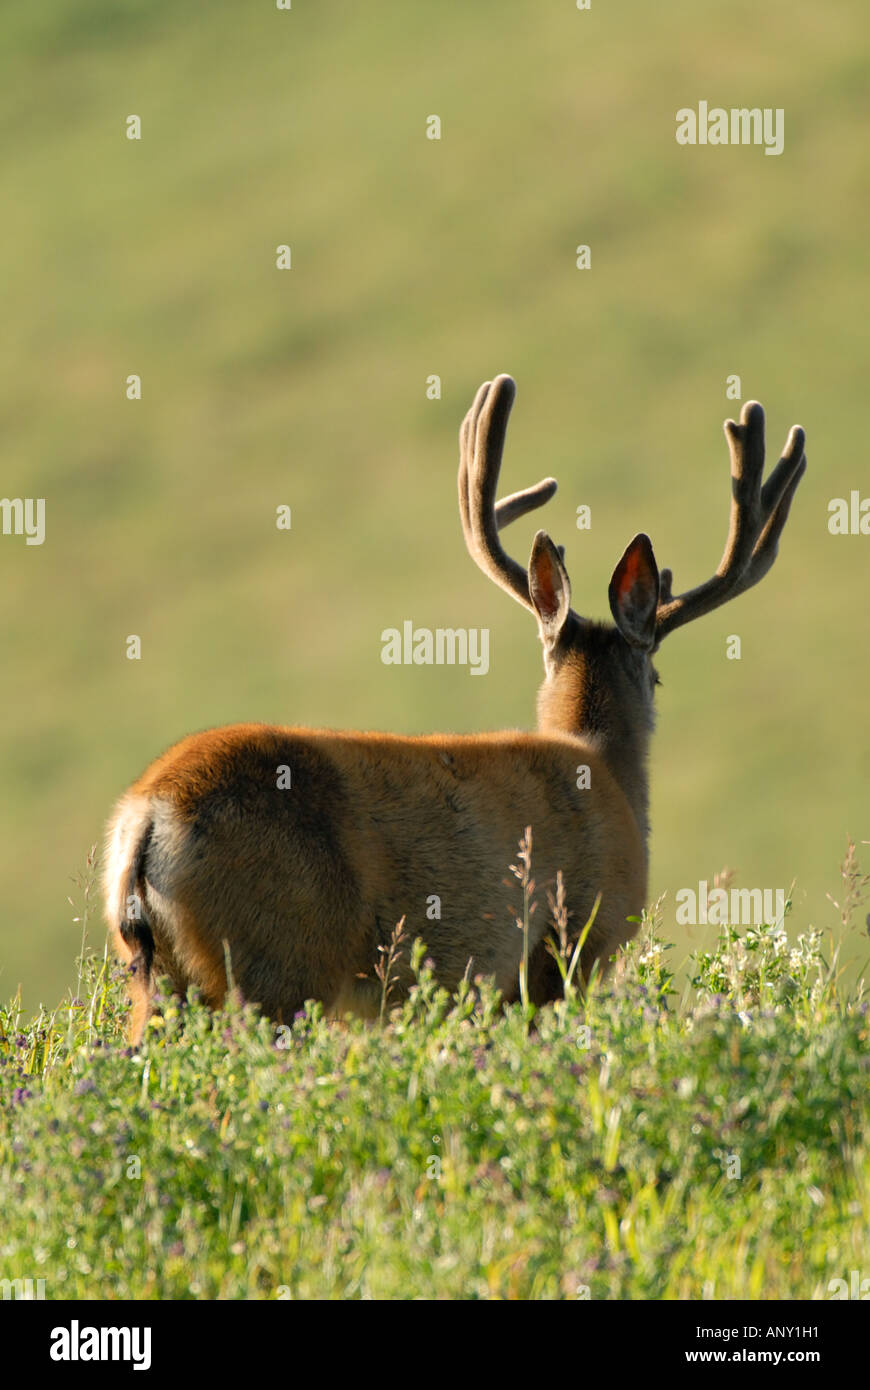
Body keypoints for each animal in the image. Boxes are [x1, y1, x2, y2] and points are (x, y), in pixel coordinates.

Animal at [103, 375, 806, 1039]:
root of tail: (146, 818)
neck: (603, 769)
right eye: (658, 676)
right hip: (278, 961)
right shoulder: (569, 944)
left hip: (163, 974)